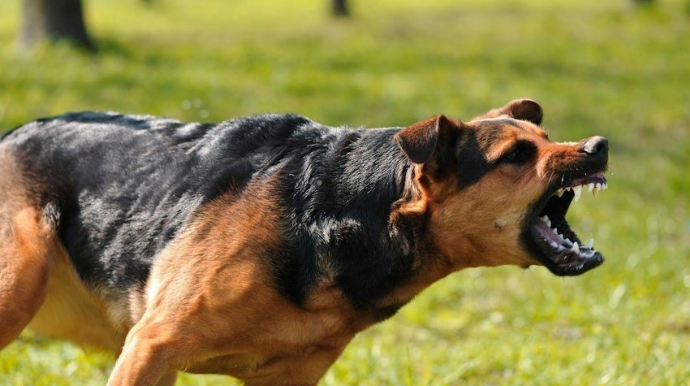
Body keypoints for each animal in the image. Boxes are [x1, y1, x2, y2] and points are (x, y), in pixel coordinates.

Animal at [0, 100, 604, 386]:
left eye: (547, 138)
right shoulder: (151, 346)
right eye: (518, 156)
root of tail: (12, 133)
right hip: (19, 289)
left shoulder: (285, 377)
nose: (598, 146)